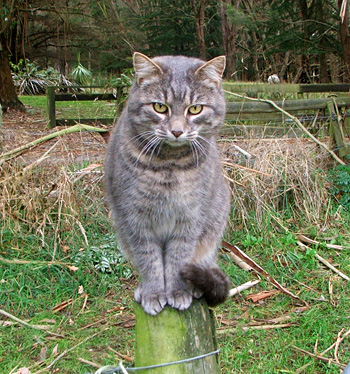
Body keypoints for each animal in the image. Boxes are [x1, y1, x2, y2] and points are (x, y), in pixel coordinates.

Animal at [105, 51, 231, 316]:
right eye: (160, 107)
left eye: (195, 109)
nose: (176, 131)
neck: (169, 165)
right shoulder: (135, 219)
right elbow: (149, 261)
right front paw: (154, 293)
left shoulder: (190, 218)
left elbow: (177, 260)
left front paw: (178, 291)